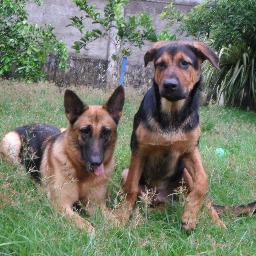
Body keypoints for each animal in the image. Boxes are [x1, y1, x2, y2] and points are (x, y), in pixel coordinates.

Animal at [0, 86, 124, 234]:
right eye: (85, 131)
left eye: (106, 131)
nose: (96, 163)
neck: (82, 175)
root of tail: (27, 125)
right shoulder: (62, 205)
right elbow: (87, 227)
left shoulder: (96, 204)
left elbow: (117, 223)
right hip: (12, 143)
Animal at [115, 40, 255, 230]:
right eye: (160, 64)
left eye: (184, 63)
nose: (169, 85)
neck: (172, 115)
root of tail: (160, 196)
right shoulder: (139, 150)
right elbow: (131, 187)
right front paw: (121, 216)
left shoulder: (190, 150)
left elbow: (203, 181)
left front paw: (190, 215)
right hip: (128, 174)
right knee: (145, 199)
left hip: (186, 175)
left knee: (206, 202)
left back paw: (217, 224)